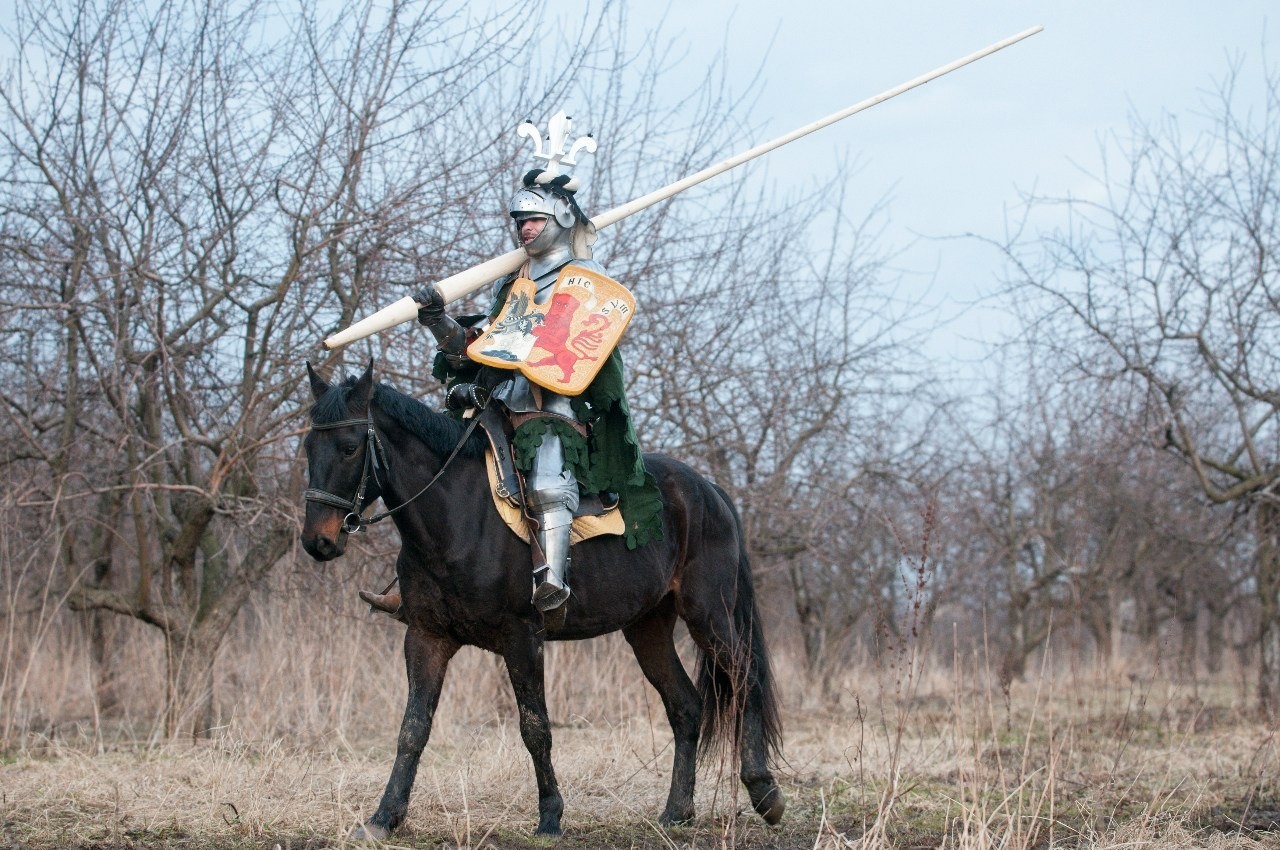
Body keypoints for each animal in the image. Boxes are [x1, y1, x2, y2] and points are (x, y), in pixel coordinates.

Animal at [302, 360, 778, 839]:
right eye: (308, 448)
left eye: (348, 448)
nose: (317, 541)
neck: (458, 515)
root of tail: (710, 491)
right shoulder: (426, 637)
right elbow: (413, 729)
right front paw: (383, 818)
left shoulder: (522, 638)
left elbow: (535, 728)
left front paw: (550, 815)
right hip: (648, 628)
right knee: (686, 707)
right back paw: (677, 811)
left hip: (709, 615)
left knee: (745, 679)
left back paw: (764, 792)